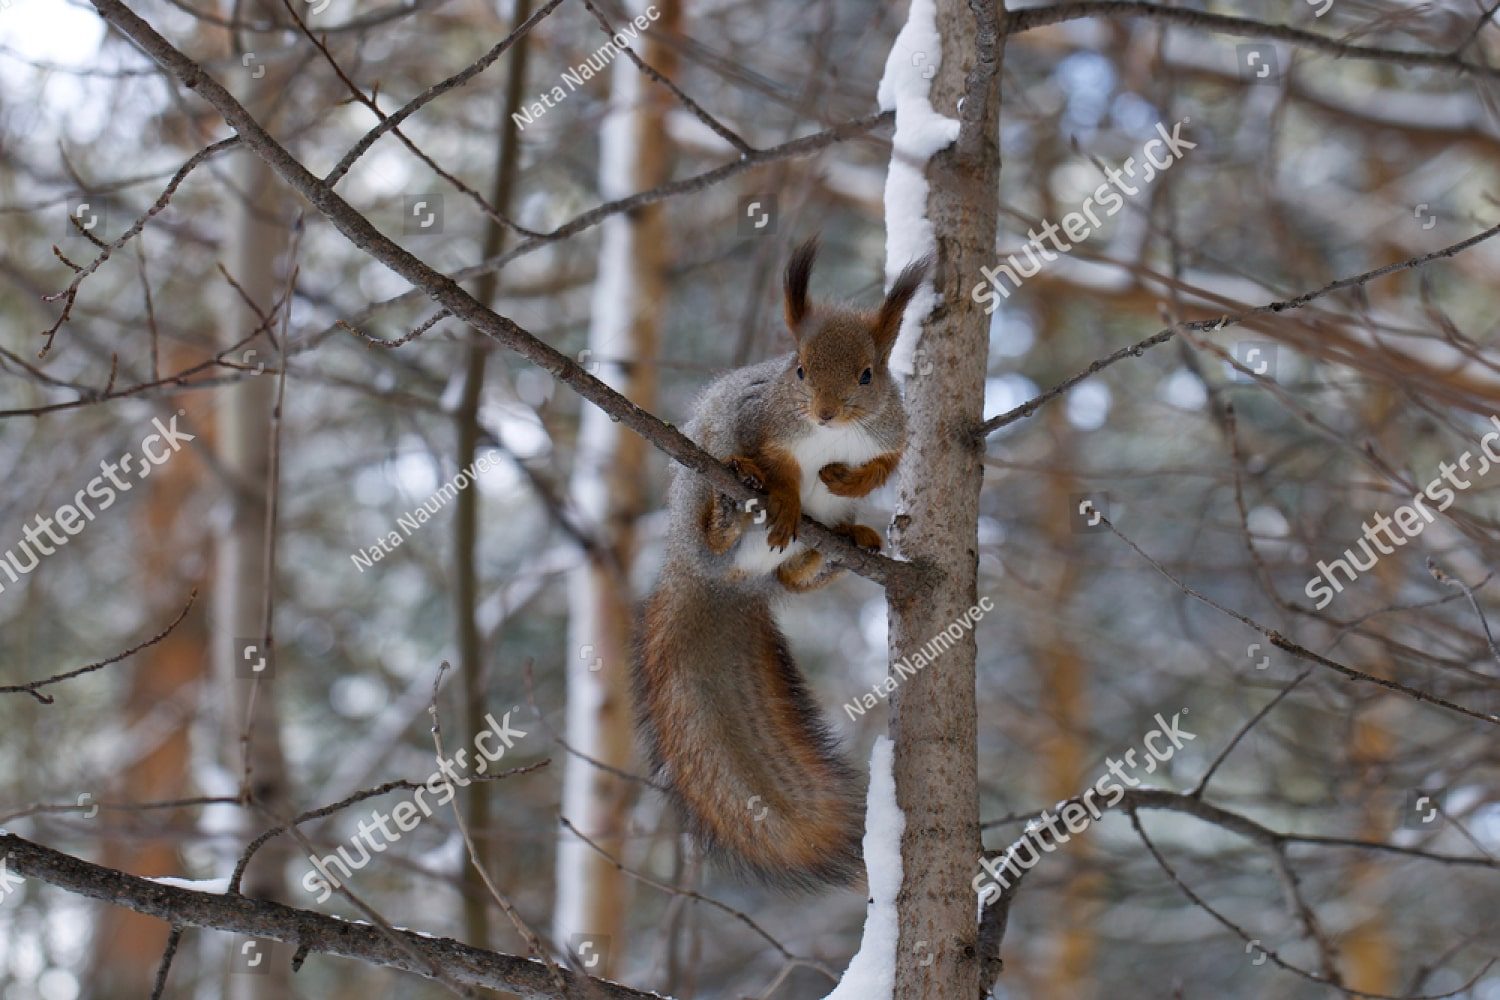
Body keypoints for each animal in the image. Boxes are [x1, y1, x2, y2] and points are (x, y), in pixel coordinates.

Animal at [634, 238, 930, 888]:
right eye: (798, 368)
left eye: (869, 373)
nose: (824, 412)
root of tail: (704, 579)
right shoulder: (759, 420)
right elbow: (782, 466)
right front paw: (788, 496)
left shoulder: (894, 429)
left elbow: (884, 463)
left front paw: (849, 479)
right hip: (699, 492)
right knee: (720, 529)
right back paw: (731, 513)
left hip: (798, 552)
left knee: (793, 580)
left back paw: (842, 546)